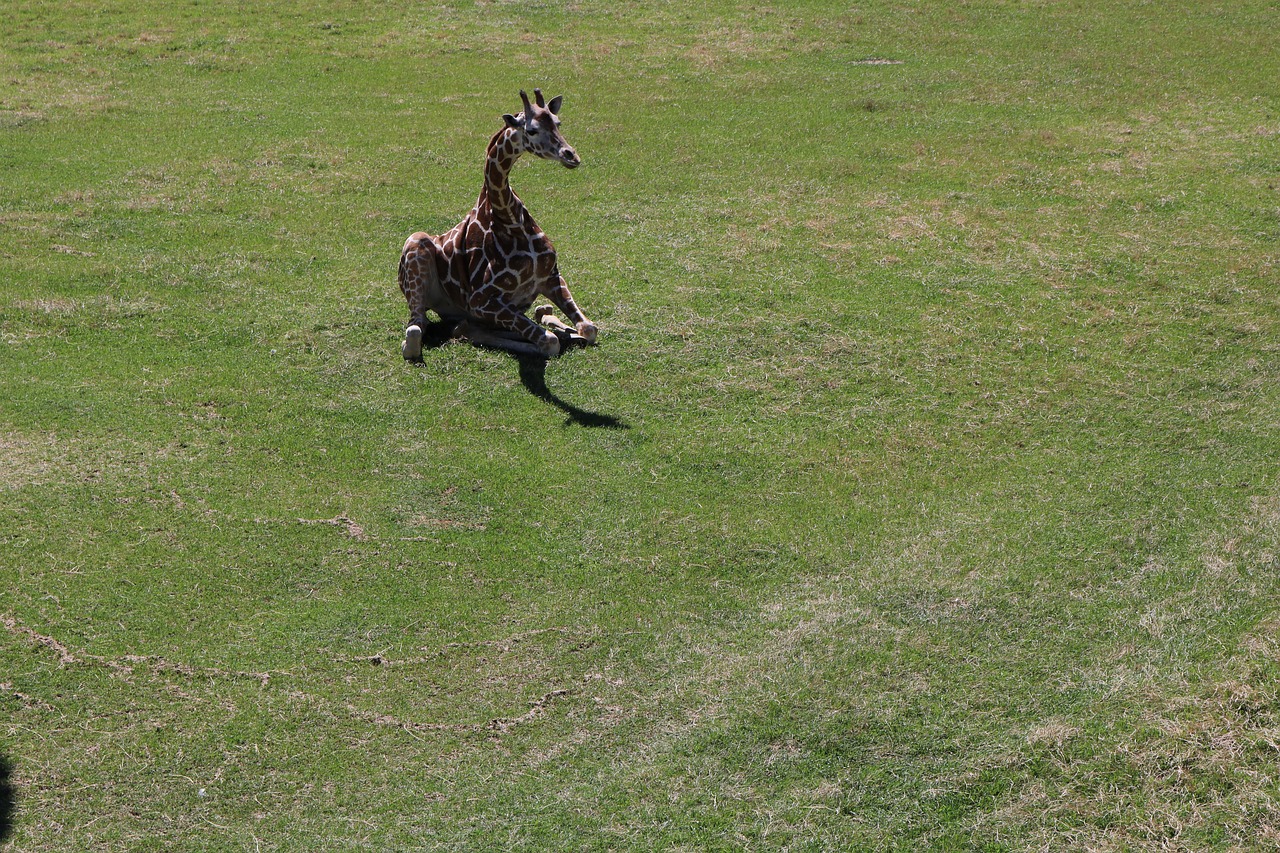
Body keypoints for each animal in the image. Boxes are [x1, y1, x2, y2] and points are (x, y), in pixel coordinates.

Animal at [396, 89, 596, 358]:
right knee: (421, 325)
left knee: (465, 328)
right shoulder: (481, 301)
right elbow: (549, 342)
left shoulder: (552, 277)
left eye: (558, 123)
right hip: (416, 245)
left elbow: (589, 329)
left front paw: (565, 328)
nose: (571, 156)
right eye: (531, 130)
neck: (510, 220)